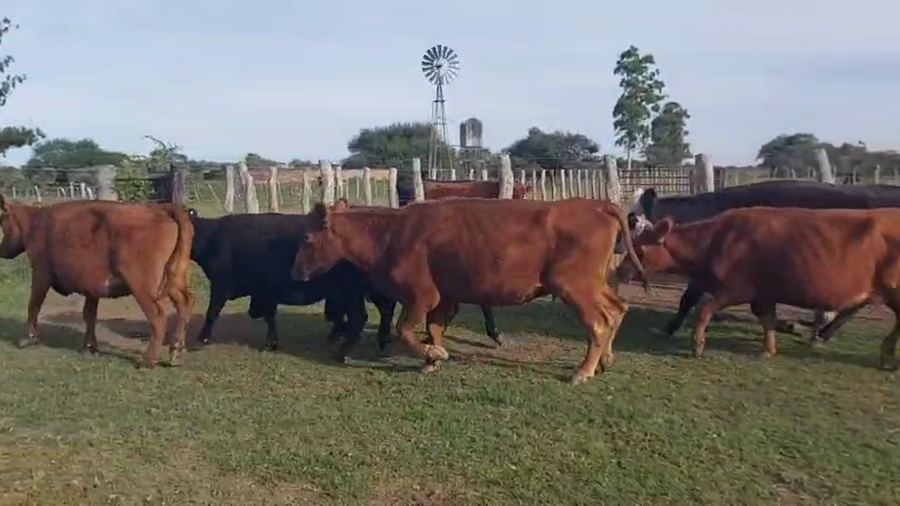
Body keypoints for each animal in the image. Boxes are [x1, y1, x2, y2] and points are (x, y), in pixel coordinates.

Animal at [0, 197, 195, 368]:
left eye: (2, 222)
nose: (1, 249)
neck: (36, 221)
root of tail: (160, 208)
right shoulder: (91, 288)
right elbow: (89, 314)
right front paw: (89, 346)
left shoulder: (41, 273)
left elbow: (33, 304)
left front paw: (31, 338)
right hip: (174, 280)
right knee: (185, 303)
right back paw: (175, 352)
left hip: (142, 286)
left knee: (158, 316)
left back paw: (149, 360)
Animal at [187, 209, 397, 361]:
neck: (213, 237)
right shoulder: (264, 293)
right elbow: (269, 316)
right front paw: (271, 342)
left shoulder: (221, 286)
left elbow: (212, 312)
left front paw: (200, 339)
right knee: (384, 311)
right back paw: (380, 342)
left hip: (350, 293)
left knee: (361, 317)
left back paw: (343, 352)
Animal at [292, 197, 649, 384]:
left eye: (307, 238)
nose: (295, 272)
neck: (391, 233)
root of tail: (597, 204)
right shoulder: (444, 296)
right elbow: (434, 328)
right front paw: (431, 358)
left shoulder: (421, 296)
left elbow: (405, 329)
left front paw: (434, 354)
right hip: (595, 285)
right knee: (618, 309)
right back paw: (606, 359)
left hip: (575, 288)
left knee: (599, 324)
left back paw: (583, 371)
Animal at [615, 206, 900, 368]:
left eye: (639, 248)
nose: (619, 271)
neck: (717, 239)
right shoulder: (762, 294)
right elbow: (767, 319)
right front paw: (770, 348)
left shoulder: (735, 290)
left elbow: (704, 310)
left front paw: (698, 345)